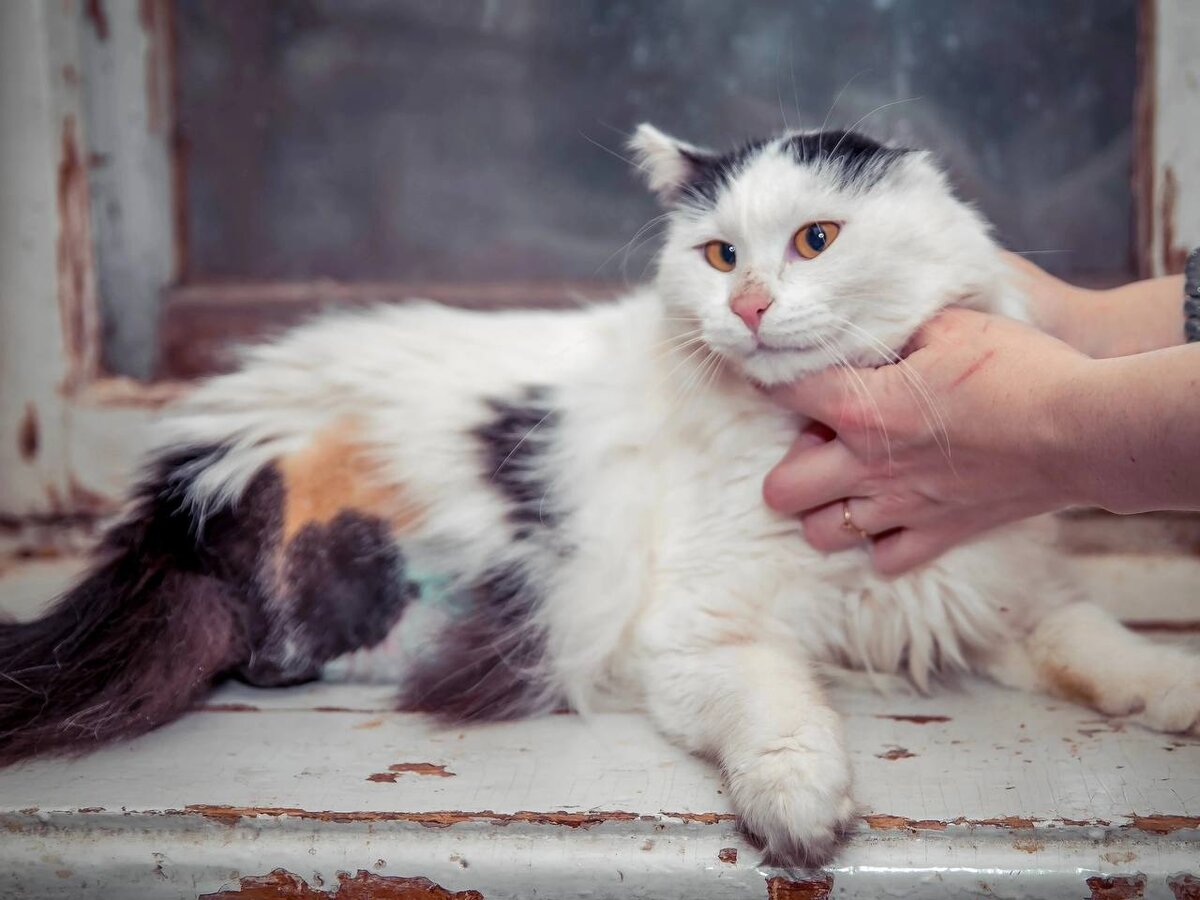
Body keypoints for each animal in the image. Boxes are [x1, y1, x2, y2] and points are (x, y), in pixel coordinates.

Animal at [2, 121, 1200, 868]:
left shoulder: (1002, 596)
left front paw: (1176, 695)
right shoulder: (697, 638)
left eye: (815, 240)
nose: (750, 306)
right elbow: (781, 714)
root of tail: (176, 481)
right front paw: (802, 811)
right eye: (719, 256)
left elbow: (1103, 650)